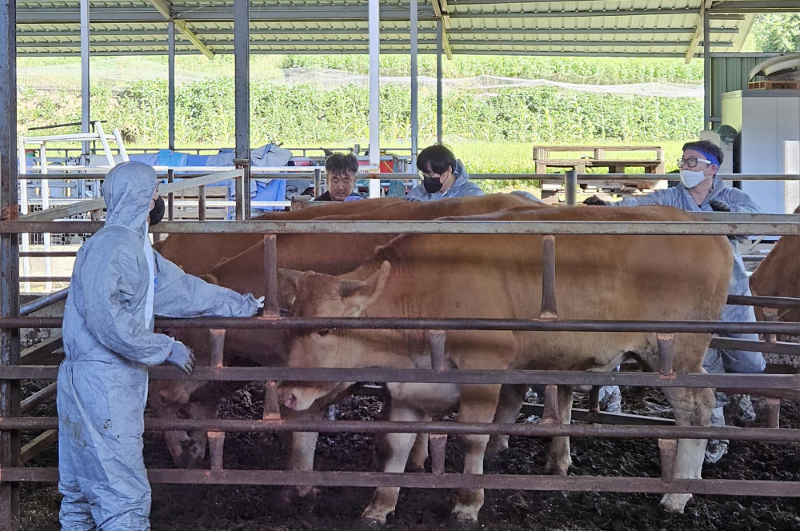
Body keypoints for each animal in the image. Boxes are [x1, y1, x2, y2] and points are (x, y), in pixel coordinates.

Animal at [278, 206, 736, 524]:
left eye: (325, 330)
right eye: (290, 323)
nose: (288, 393)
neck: (423, 290)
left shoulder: (485, 369)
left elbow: (474, 440)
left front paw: (467, 503)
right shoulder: (408, 385)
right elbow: (397, 445)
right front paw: (380, 504)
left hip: (676, 355)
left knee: (697, 409)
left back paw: (677, 492)